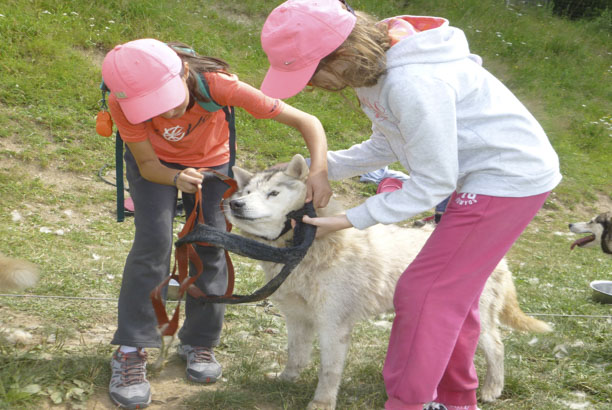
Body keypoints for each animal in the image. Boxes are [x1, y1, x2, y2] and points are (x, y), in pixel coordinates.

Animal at [227, 155, 552, 410]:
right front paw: (286, 380)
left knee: (497, 348)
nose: (235, 203)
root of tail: (502, 261)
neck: (305, 248)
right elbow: (295, 355)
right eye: (246, 191)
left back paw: (490, 390)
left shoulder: (333, 325)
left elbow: (329, 371)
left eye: (273, 193)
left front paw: (322, 402)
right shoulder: (297, 318)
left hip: (475, 321)